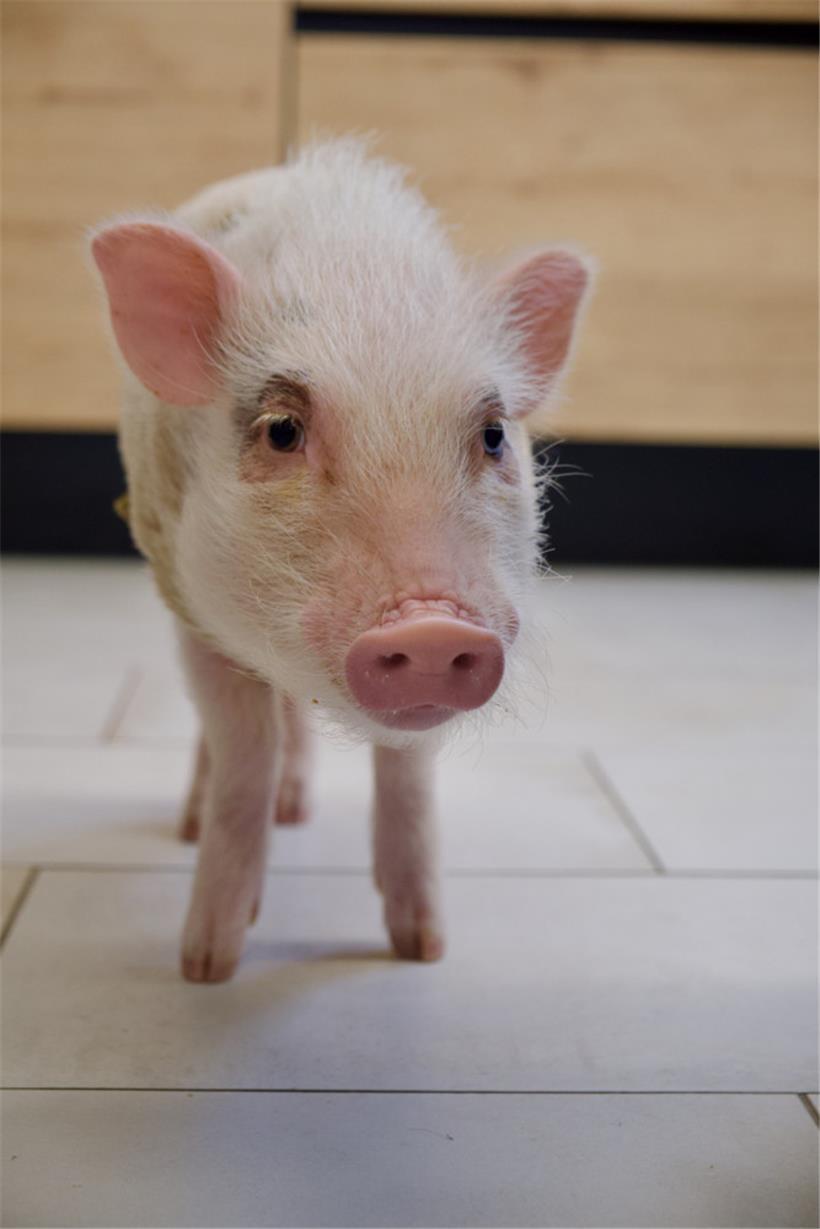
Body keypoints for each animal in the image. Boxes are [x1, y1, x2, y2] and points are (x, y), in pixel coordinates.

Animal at [90, 138, 592, 982]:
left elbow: (408, 774)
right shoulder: (192, 606)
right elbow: (244, 755)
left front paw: (422, 949)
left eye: (493, 434)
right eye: (282, 430)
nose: (431, 627)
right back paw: (197, 825)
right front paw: (206, 965)